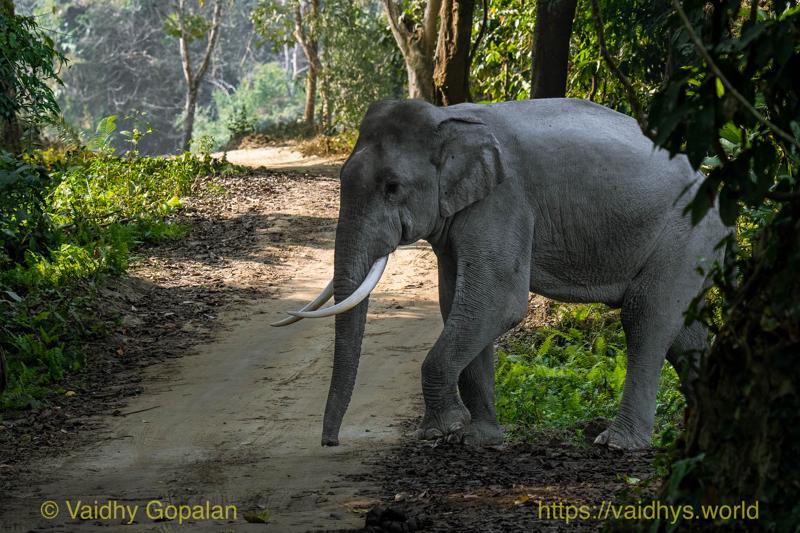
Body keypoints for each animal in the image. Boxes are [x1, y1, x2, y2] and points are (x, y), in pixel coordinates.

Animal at [272, 98, 728, 450]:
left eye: (393, 187)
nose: (330, 442)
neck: (447, 118)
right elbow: (457, 301)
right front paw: (479, 438)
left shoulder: (503, 201)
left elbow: (497, 301)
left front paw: (445, 430)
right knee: (684, 333)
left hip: (685, 237)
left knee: (645, 317)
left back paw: (618, 443)